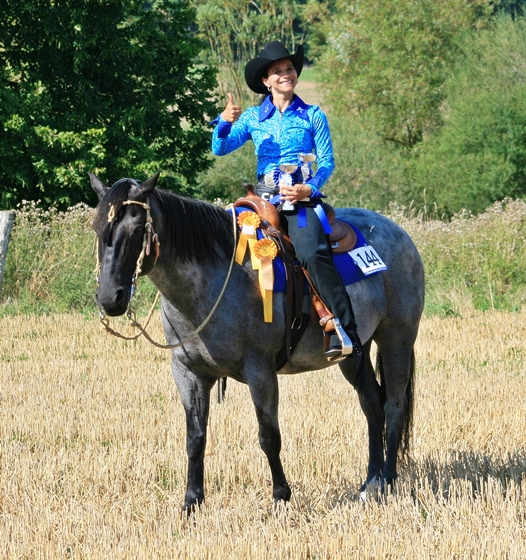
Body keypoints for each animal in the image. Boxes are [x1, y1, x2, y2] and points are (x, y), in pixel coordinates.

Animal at [90, 172, 425, 512]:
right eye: (97, 229)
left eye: (136, 229)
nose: (110, 298)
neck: (213, 283)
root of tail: (399, 233)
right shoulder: (187, 372)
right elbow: (195, 438)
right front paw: (192, 501)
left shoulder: (260, 371)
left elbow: (269, 436)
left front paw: (280, 497)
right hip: (355, 352)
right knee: (372, 404)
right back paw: (371, 484)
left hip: (397, 337)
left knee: (394, 406)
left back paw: (390, 482)